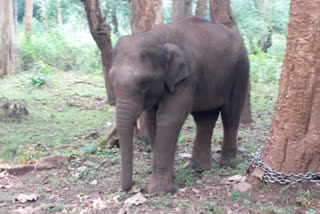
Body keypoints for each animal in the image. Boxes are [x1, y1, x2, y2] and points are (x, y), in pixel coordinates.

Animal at [110, 16, 250, 194]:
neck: (158, 36)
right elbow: (151, 120)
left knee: (230, 115)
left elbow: (169, 118)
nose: (131, 187)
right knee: (205, 119)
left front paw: (159, 191)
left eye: (144, 82)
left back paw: (226, 165)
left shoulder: (188, 76)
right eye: (111, 79)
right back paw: (198, 169)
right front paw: (172, 178)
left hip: (241, 72)